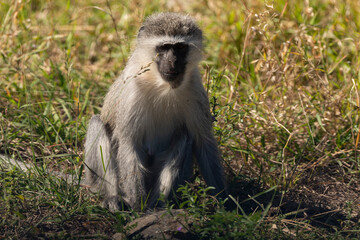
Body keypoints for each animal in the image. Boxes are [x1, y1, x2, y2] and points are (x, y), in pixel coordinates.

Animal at [83, 12, 225, 210]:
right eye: (164, 47)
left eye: (180, 47)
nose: (172, 62)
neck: (162, 85)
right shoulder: (132, 89)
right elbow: (129, 142)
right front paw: (137, 204)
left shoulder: (196, 91)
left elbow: (204, 142)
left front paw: (227, 202)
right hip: (94, 180)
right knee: (97, 123)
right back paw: (114, 198)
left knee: (184, 136)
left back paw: (159, 204)